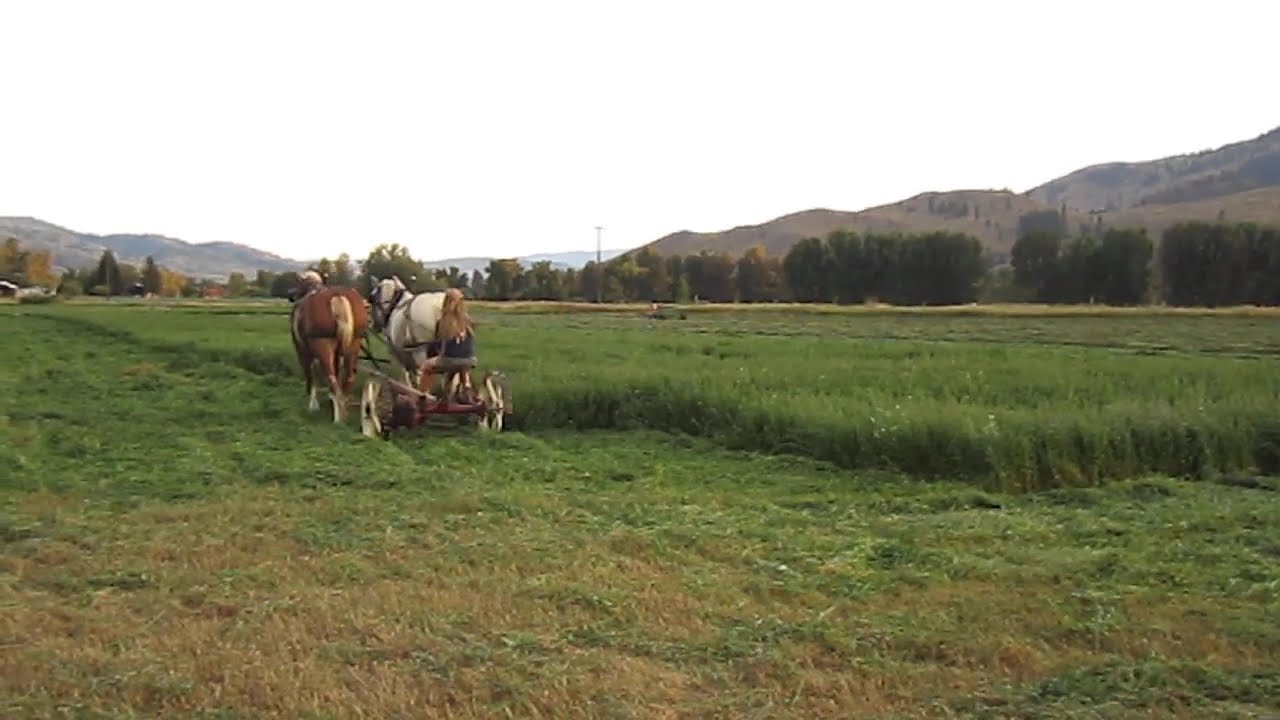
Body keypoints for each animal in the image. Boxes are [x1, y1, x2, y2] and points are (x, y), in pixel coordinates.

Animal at [289, 271, 369, 422]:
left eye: (299, 283)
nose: (291, 296)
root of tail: (338, 296)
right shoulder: (337, 353)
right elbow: (337, 371)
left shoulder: (302, 351)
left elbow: (311, 374)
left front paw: (313, 404)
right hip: (353, 345)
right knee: (348, 377)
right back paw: (342, 406)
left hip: (322, 347)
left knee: (331, 377)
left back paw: (338, 417)